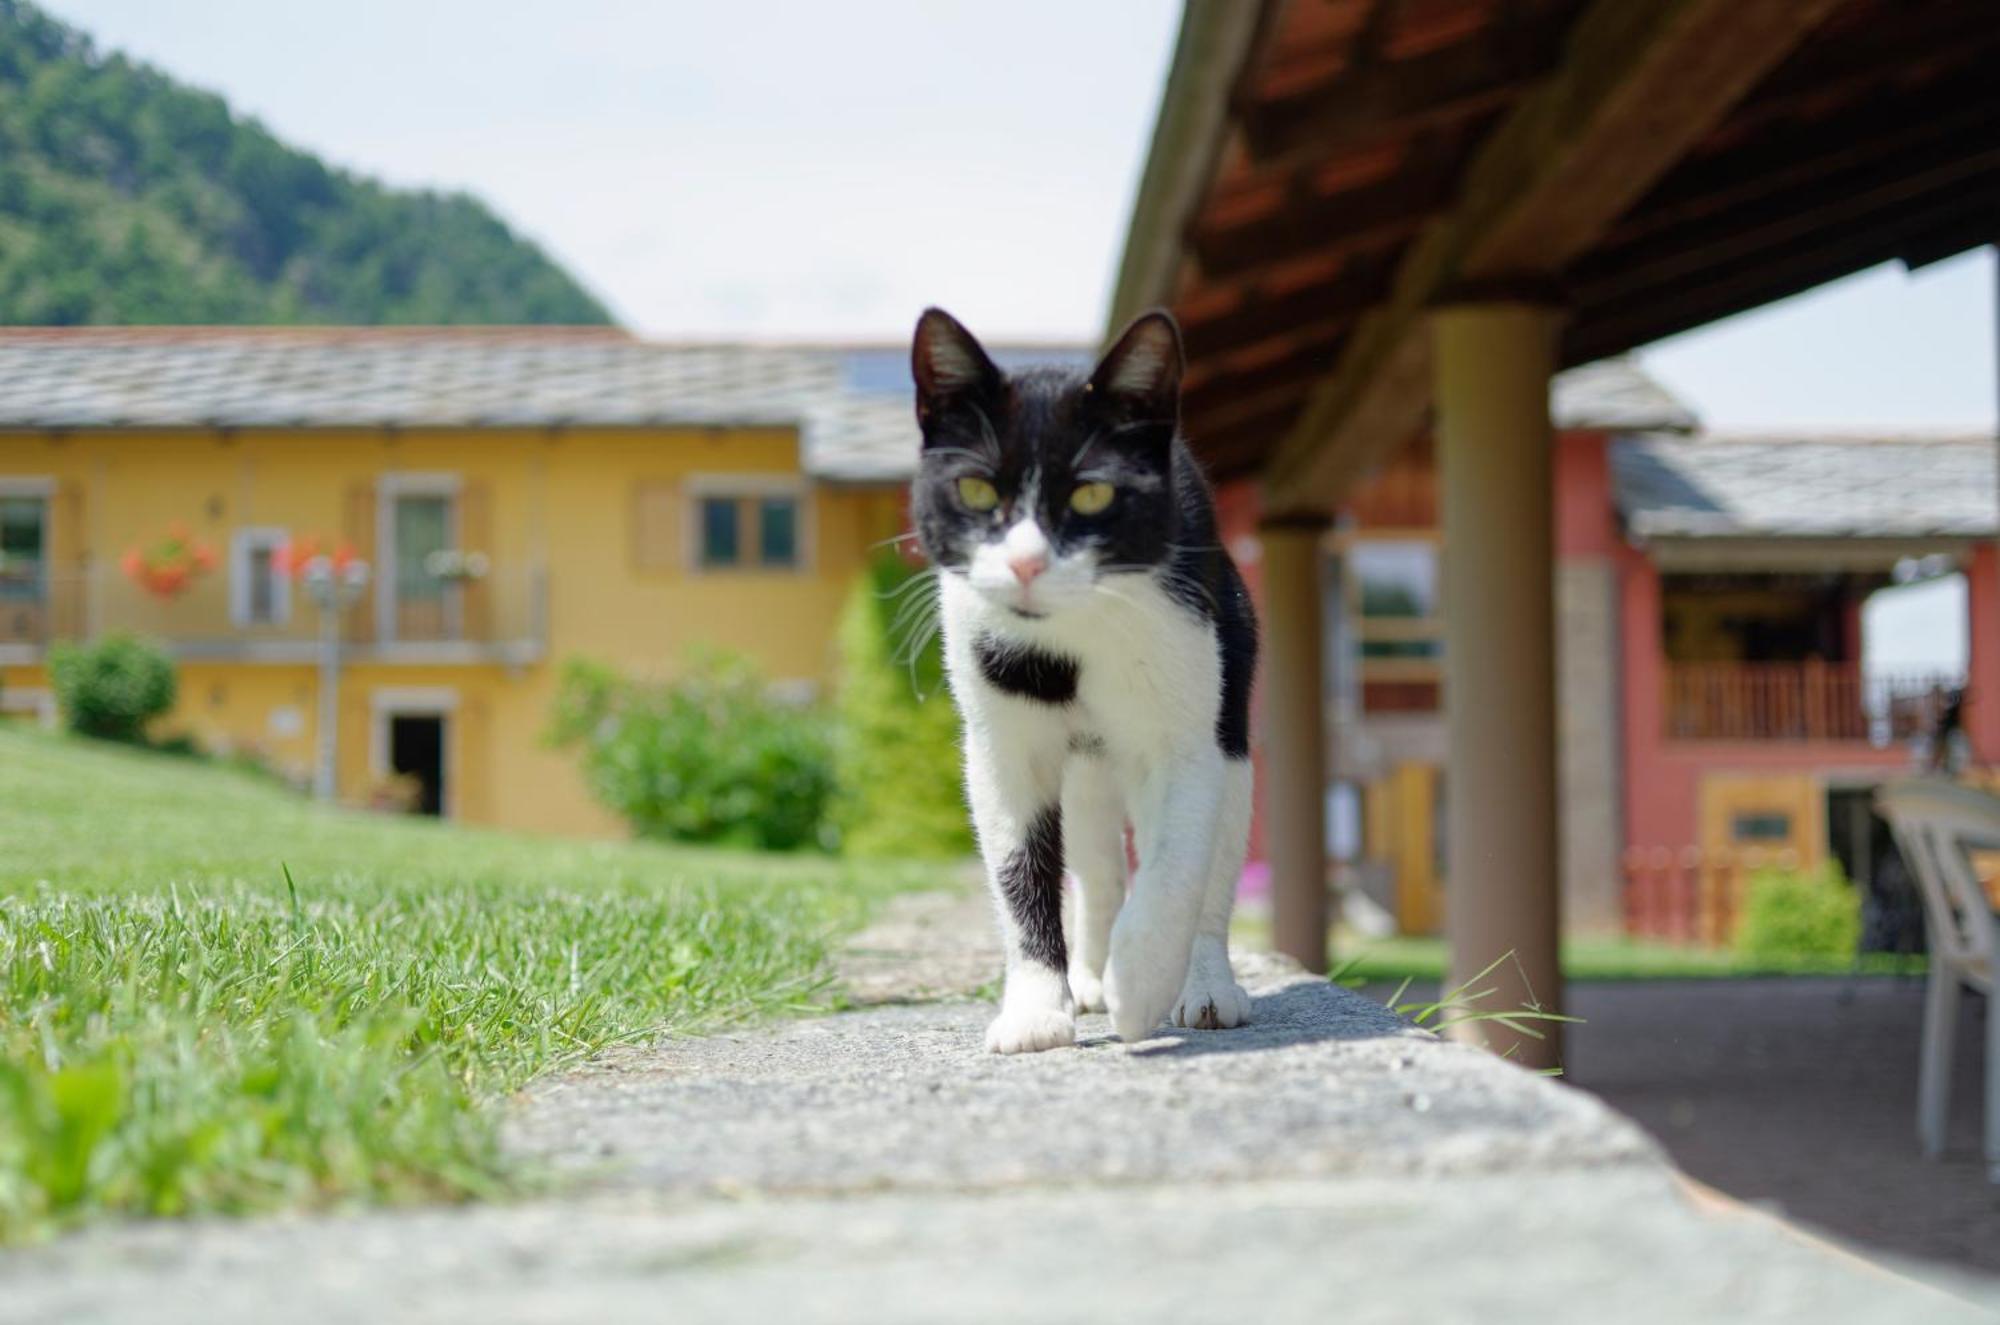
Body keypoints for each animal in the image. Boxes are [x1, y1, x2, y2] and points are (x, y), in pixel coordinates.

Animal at [916, 306, 1256, 1056]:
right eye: (977, 489)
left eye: (1093, 492)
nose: (1025, 563)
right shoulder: (1001, 744)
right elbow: (1019, 871)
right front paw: (1038, 1011)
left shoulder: (1185, 734)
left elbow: (1176, 863)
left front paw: (1142, 984)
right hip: (1085, 772)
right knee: (1098, 864)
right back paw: (1091, 975)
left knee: (1212, 863)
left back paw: (1202, 986)